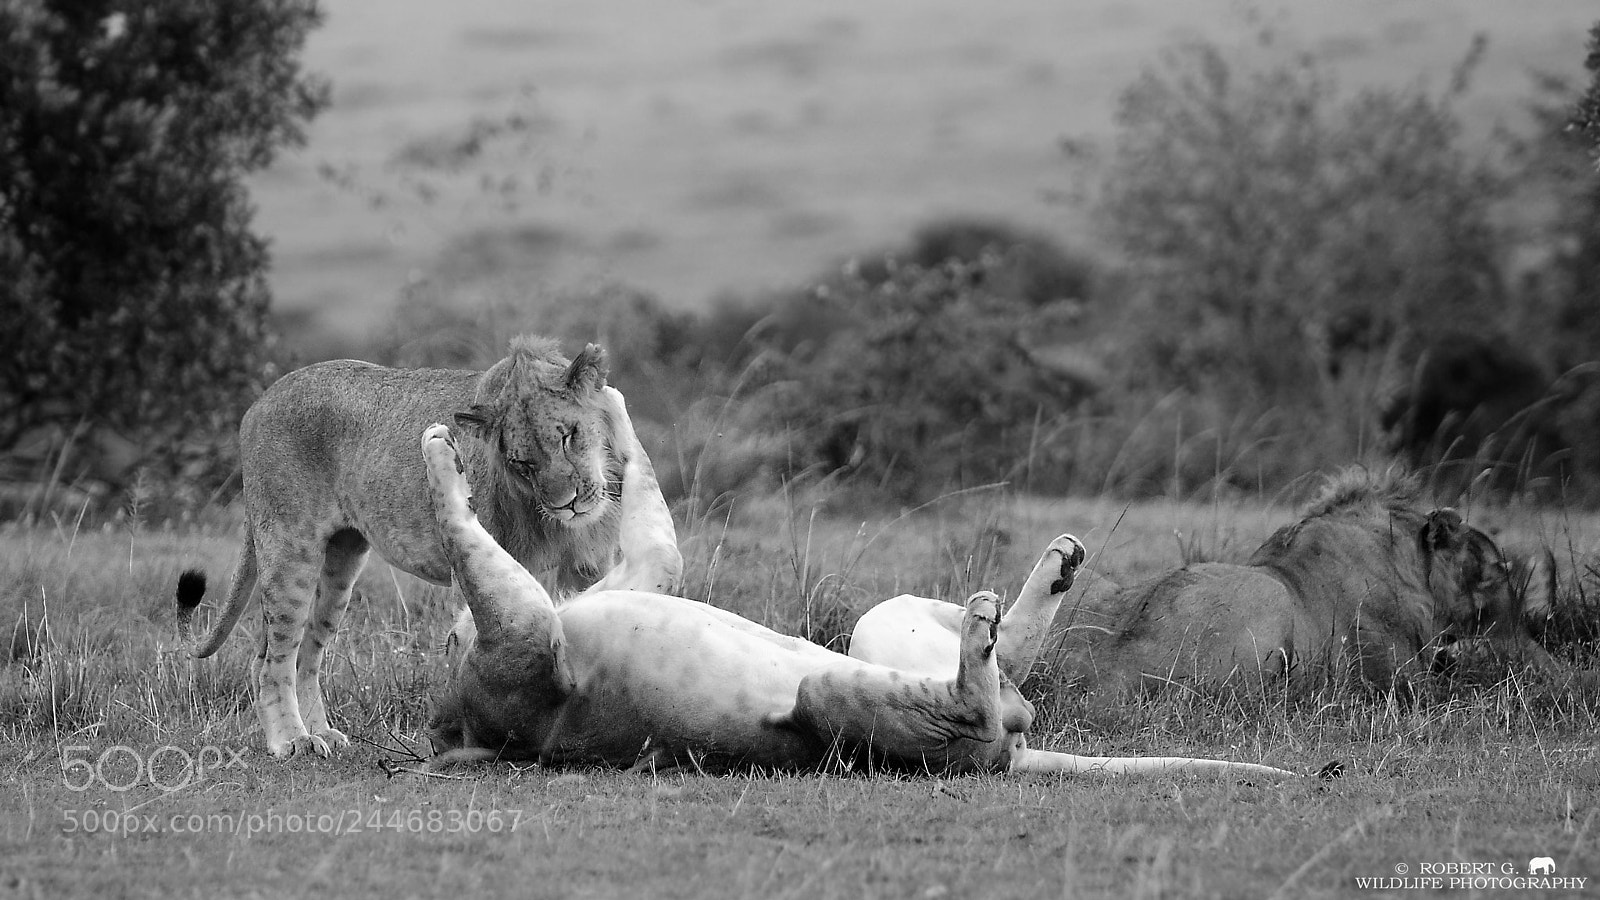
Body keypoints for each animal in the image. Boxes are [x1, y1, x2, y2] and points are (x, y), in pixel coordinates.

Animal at [176, 336, 682, 759]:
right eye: (522, 463)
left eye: (568, 435)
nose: (568, 503)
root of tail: (258, 403)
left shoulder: (590, 568)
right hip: (290, 548)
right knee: (272, 657)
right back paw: (291, 742)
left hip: (339, 562)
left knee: (305, 654)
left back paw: (321, 734)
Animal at [420, 424, 1298, 778]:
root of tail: (1018, 755)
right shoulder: (526, 636)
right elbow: (460, 533)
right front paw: (438, 452)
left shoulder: (637, 571)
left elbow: (654, 529)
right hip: (829, 691)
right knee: (979, 708)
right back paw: (985, 631)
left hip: (879, 630)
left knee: (1008, 680)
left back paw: (1055, 569)